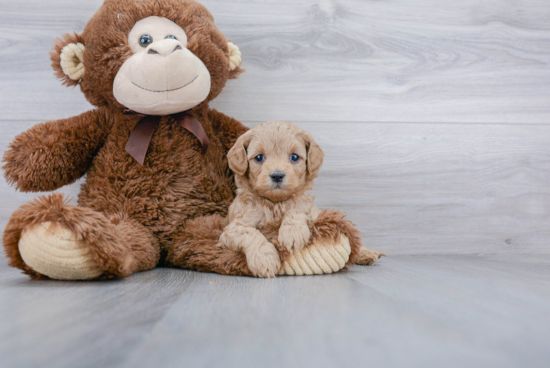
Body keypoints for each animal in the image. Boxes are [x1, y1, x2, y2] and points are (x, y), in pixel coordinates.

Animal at [219, 122, 324, 278]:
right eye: (259, 157)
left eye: (294, 157)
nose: (277, 175)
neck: (275, 203)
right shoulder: (231, 230)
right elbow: (250, 233)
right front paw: (264, 259)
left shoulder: (312, 210)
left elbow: (296, 210)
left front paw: (292, 233)